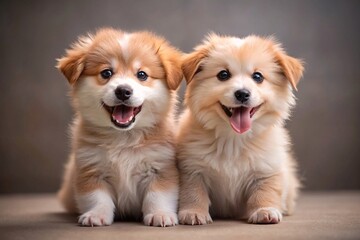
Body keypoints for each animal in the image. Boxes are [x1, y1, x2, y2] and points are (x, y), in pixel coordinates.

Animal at [58, 28, 184, 227]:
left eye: (142, 75)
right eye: (106, 73)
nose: (123, 91)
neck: (124, 137)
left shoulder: (161, 168)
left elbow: (158, 196)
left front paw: (160, 214)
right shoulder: (91, 169)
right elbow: (97, 198)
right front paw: (96, 215)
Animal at [177, 34, 304, 225]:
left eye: (258, 77)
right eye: (223, 75)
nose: (242, 94)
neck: (233, 139)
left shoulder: (267, 169)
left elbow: (265, 191)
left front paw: (264, 211)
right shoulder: (192, 168)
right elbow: (193, 192)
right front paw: (193, 213)